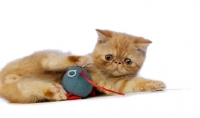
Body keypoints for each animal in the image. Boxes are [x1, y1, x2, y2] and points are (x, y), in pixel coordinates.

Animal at [0, 29, 166, 103]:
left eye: (128, 61)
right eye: (109, 57)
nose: (117, 63)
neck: (107, 74)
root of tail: (4, 75)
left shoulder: (121, 83)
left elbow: (132, 84)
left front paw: (154, 85)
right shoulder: (97, 73)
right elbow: (102, 81)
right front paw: (104, 84)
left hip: (24, 94)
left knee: (24, 85)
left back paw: (54, 91)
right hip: (45, 57)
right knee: (50, 61)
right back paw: (81, 60)